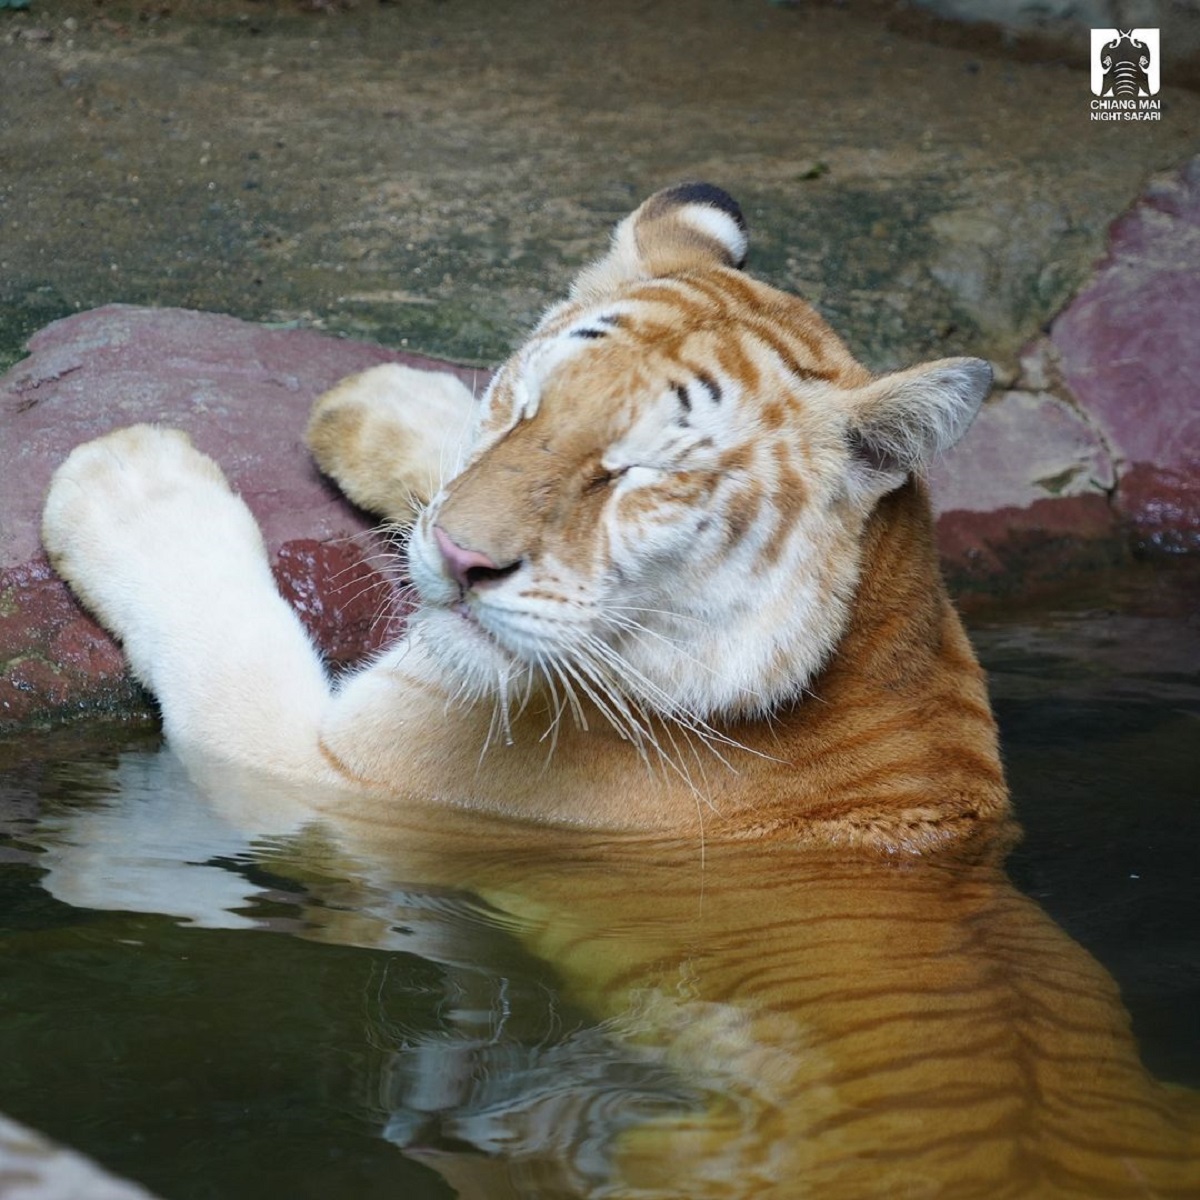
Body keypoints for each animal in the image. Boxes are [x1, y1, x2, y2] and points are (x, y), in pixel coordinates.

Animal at [42, 182, 1195, 1195]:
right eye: (523, 409)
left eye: (633, 477)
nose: (460, 559)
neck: (882, 635)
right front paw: (379, 404)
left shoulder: (346, 781)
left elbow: (221, 634)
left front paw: (126, 480)